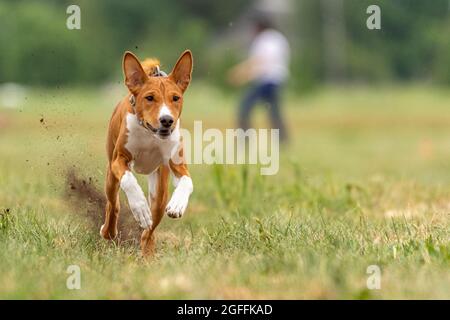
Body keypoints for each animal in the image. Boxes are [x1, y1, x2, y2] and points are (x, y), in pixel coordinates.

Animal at [100, 50, 193, 256]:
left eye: (176, 98)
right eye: (149, 98)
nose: (167, 120)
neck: (150, 134)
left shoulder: (176, 163)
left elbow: (187, 182)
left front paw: (178, 204)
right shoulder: (120, 159)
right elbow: (129, 180)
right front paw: (140, 207)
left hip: (159, 191)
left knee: (150, 228)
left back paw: (147, 252)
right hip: (111, 175)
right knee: (113, 204)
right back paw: (108, 231)